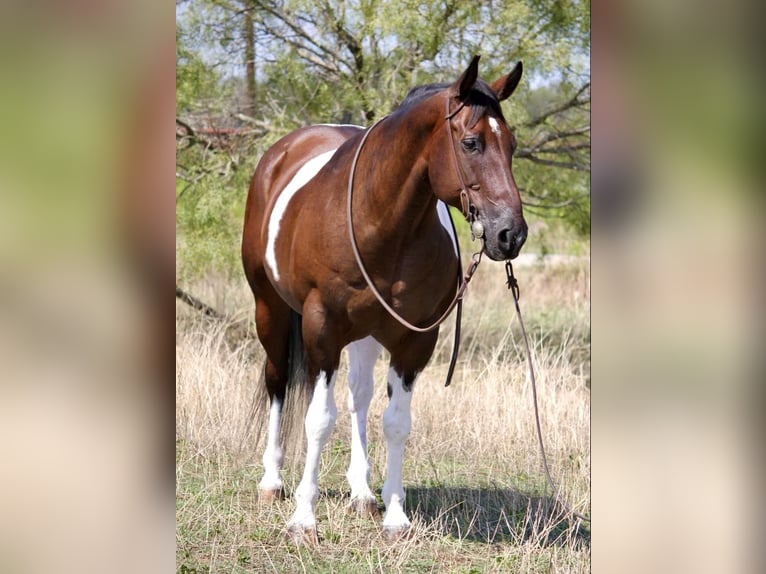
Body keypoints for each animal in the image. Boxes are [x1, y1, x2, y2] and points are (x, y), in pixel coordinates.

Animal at [243, 55, 532, 544]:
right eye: (471, 142)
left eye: (511, 145)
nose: (510, 234)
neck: (379, 220)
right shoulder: (321, 330)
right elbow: (319, 419)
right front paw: (304, 519)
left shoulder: (414, 341)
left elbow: (396, 422)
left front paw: (394, 516)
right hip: (272, 311)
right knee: (278, 381)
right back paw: (272, 481)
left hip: (364, 333)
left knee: (359, 396)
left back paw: (361, 492)